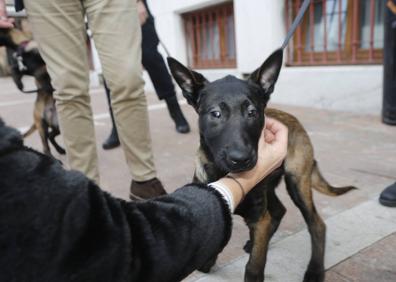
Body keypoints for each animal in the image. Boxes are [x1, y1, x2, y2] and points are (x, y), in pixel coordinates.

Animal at [0, 27, 64, 155]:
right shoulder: (26, 68)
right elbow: (15, 71)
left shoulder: (37, 63)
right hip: (43, 126)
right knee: (46, 143)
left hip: (57, 126)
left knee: (50, 137)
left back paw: (60, 150)